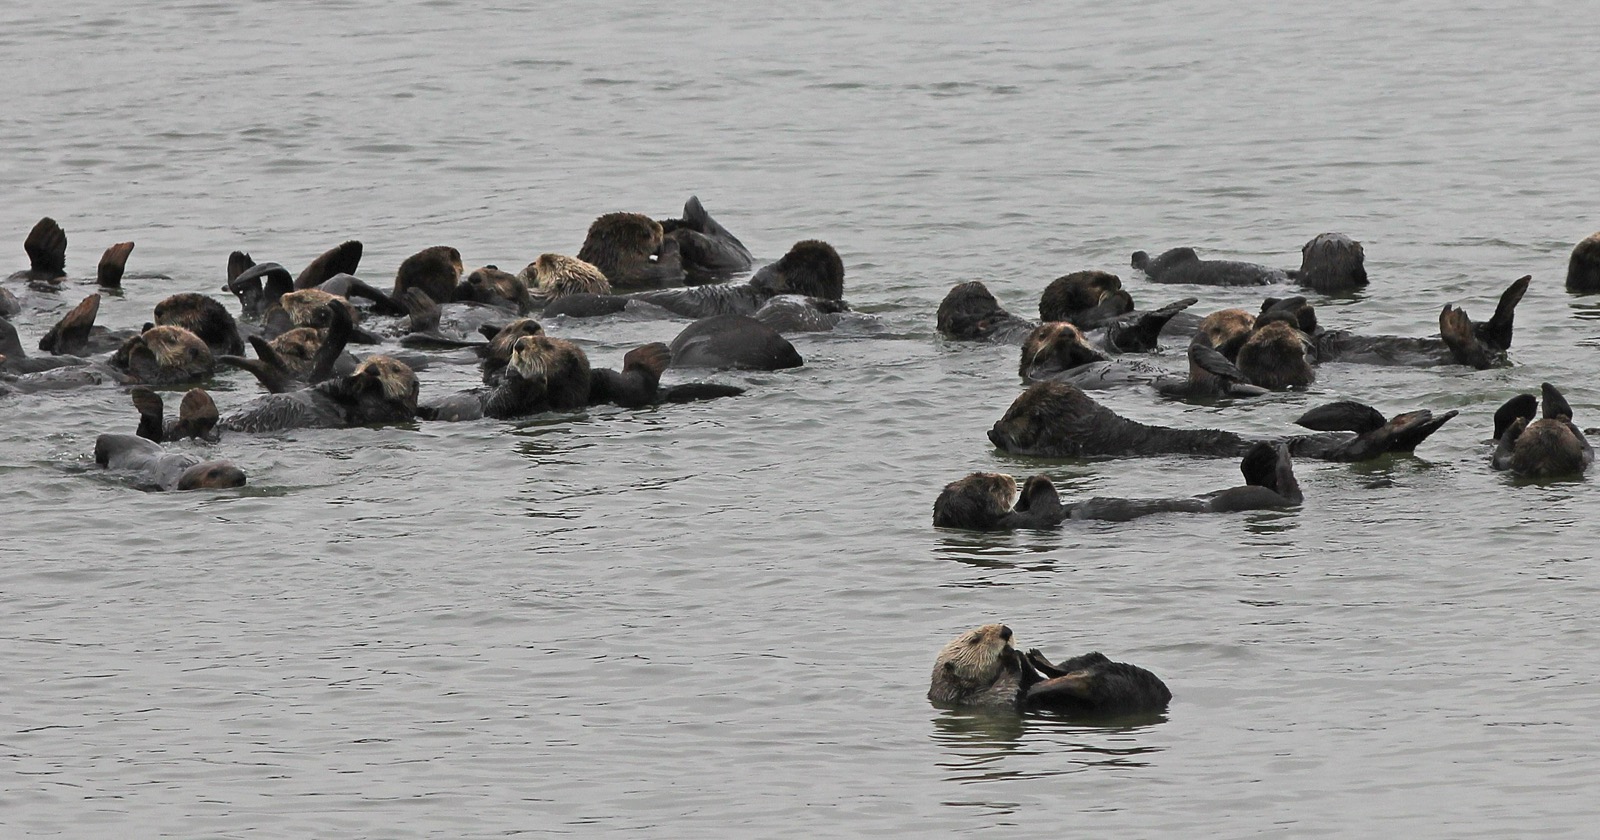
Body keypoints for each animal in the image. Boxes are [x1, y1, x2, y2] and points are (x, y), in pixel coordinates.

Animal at [928, 624, 1171, 717]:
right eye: (975, 639)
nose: (1006, 631)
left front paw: (1017, 654)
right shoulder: (979, 701)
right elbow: (1005, 691)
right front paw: (1010, 658)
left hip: (1095, 661)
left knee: (1074, 667)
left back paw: (1035, 658)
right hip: (1106, 694)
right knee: (1084, 684)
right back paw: (1038, 687)